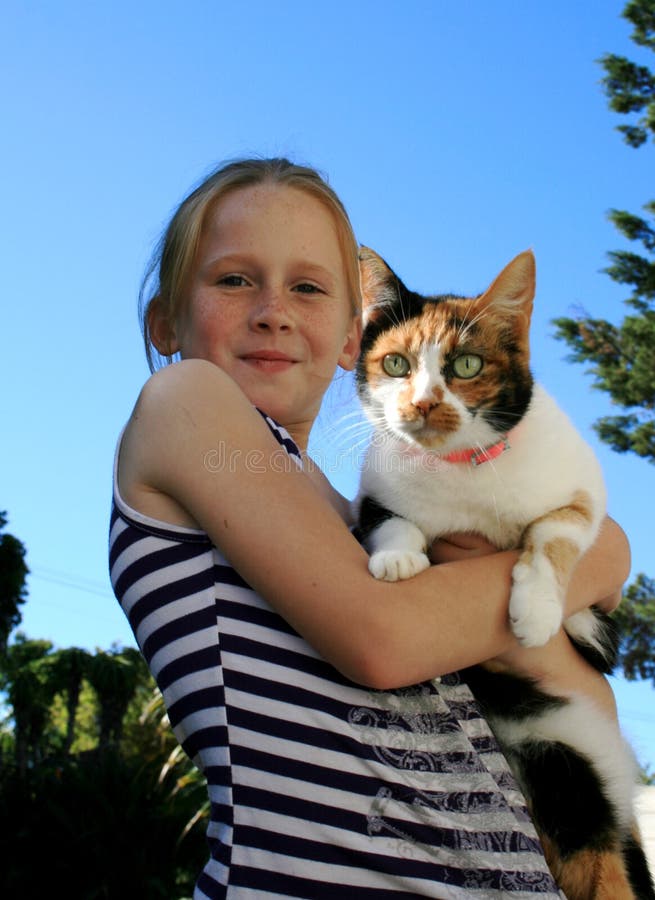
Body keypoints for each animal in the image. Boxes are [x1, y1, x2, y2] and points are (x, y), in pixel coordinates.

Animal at [354, 248, 655, 900]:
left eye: (466, 365)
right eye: (395, 364)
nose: (423, 403)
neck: (462, 470)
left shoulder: (585, 499)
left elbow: (552, 534)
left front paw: (539, 613)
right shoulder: (374, 488)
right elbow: (389, 519)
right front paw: (397, 559)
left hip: (574, 785)